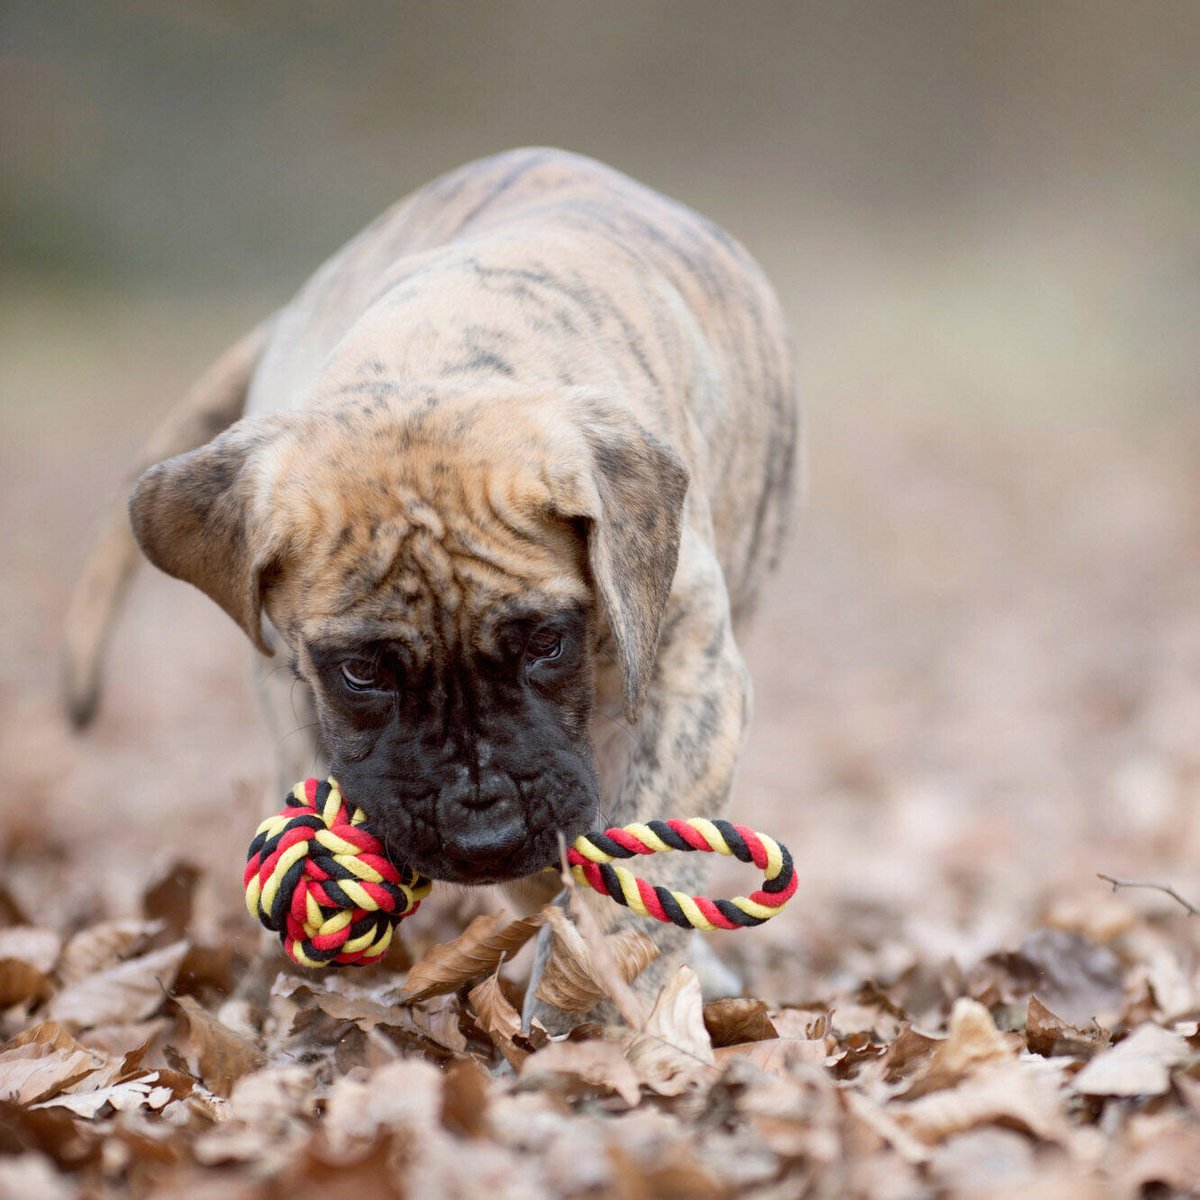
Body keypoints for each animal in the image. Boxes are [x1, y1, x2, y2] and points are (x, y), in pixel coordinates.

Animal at [63, 147, 796, 1022]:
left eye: (547, 643)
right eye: (361, 671)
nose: (482, 835)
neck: (441, 354)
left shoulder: (691, 676)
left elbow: (639, 873)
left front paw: (589, 1002)